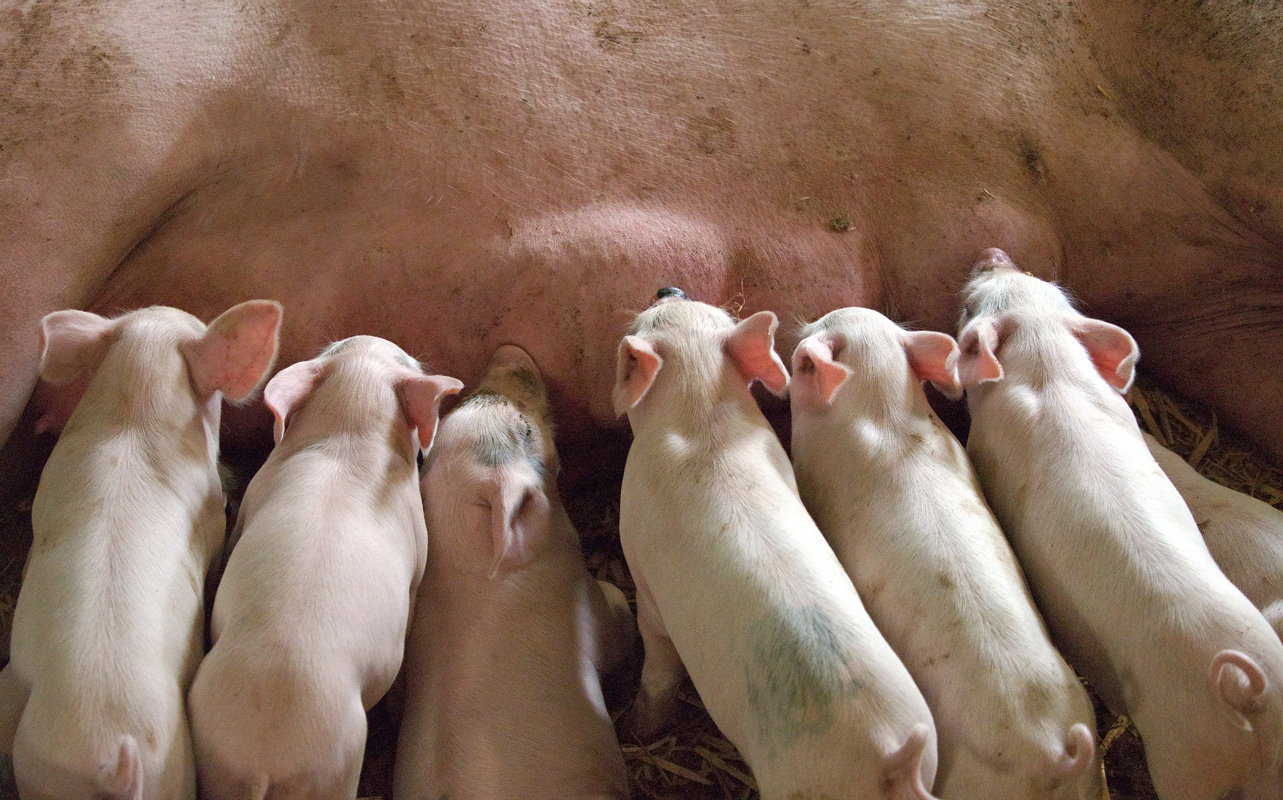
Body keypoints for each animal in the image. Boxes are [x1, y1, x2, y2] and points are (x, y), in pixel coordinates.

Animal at [186, 336, 462, 800]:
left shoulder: (251, 501)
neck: (349, 435)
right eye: (405, 359)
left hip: (214, 755)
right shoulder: (418, 552)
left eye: (332, 349)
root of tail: (263, 761)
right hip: (335, 766)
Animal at [613, 293, 939, 800]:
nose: (669, 288)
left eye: (644, 326)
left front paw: (636, 726)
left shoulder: (643, 574)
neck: (700, 418)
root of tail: (891, 759)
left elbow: (658, 659)